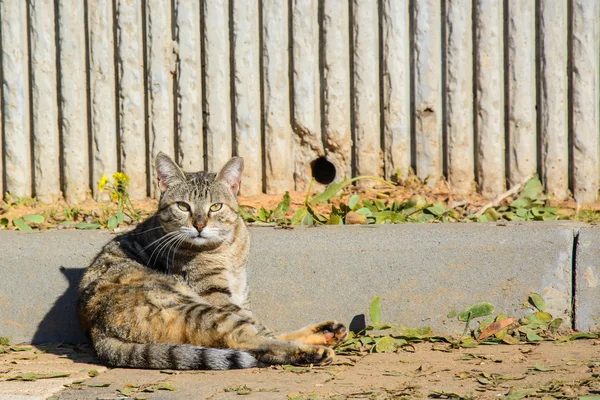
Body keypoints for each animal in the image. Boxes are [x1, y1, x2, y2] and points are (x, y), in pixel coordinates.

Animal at [78, 152, 346, 368]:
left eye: (216, 207)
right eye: (183, 206)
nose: (199, 225)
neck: (228, 248)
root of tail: (97, 330)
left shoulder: (241, 295)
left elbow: (262, 326)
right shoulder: (217, 294)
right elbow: (260, 330)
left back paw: (324, 333)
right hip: (199, 308)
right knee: (245, 340)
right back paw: (313, 351)